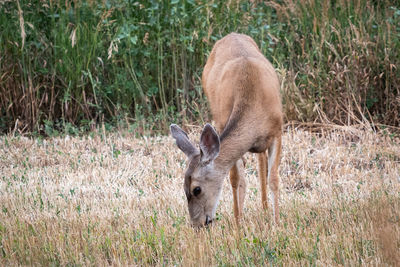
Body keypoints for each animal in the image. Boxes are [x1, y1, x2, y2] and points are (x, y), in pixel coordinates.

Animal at [170, 31, 282, 228]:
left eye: (196, 189)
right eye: (183, 188)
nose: (198, 224)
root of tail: (232, 34)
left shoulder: (278, 130)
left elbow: (273, 179)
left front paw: (276, 224)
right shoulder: (223, 123)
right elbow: (236, 179)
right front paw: (238, 223)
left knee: (261, 162)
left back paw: (265, 208)